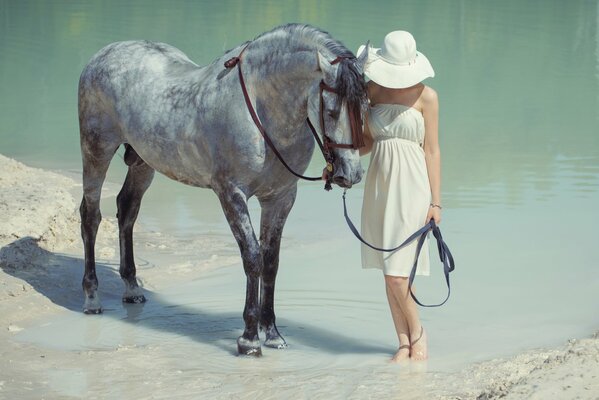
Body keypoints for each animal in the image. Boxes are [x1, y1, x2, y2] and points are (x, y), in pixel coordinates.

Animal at [78, 24, 370, 356]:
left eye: (365, 107)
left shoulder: (280, 198)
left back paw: (132, 288)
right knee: (90, 217)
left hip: (142, 163)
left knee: (127, 210)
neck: (261, 110)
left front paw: (272, 334)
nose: (351, 174)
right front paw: (249, 339)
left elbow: (271, 261)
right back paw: (92, 298)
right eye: (331, 111)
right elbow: (252, 258)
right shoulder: (231, 194)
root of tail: (104, 54)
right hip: (96, 152)